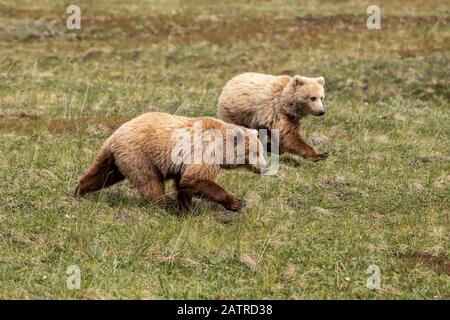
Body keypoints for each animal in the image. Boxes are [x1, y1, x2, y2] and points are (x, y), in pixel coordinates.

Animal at [73, 111, 264, 211]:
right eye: (256, 152)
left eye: (262, 151)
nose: (263, 167)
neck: (223, 150)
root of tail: (116, 134)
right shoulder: (205, 152)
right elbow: (196, 179)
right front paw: (236, 202)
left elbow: (184, 183)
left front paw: (186, 208)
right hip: (140, 157)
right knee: (151, 183)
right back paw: (160, 207)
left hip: (117, 157)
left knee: (103, 173)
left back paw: (79, 191)